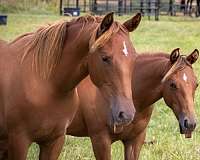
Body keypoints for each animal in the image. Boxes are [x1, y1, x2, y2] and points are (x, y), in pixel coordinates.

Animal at [0, 13, 141, 159]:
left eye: (134, 58)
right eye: (105, 58)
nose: (127, 114)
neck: (46, 86)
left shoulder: (55, 141)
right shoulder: (19, 141)